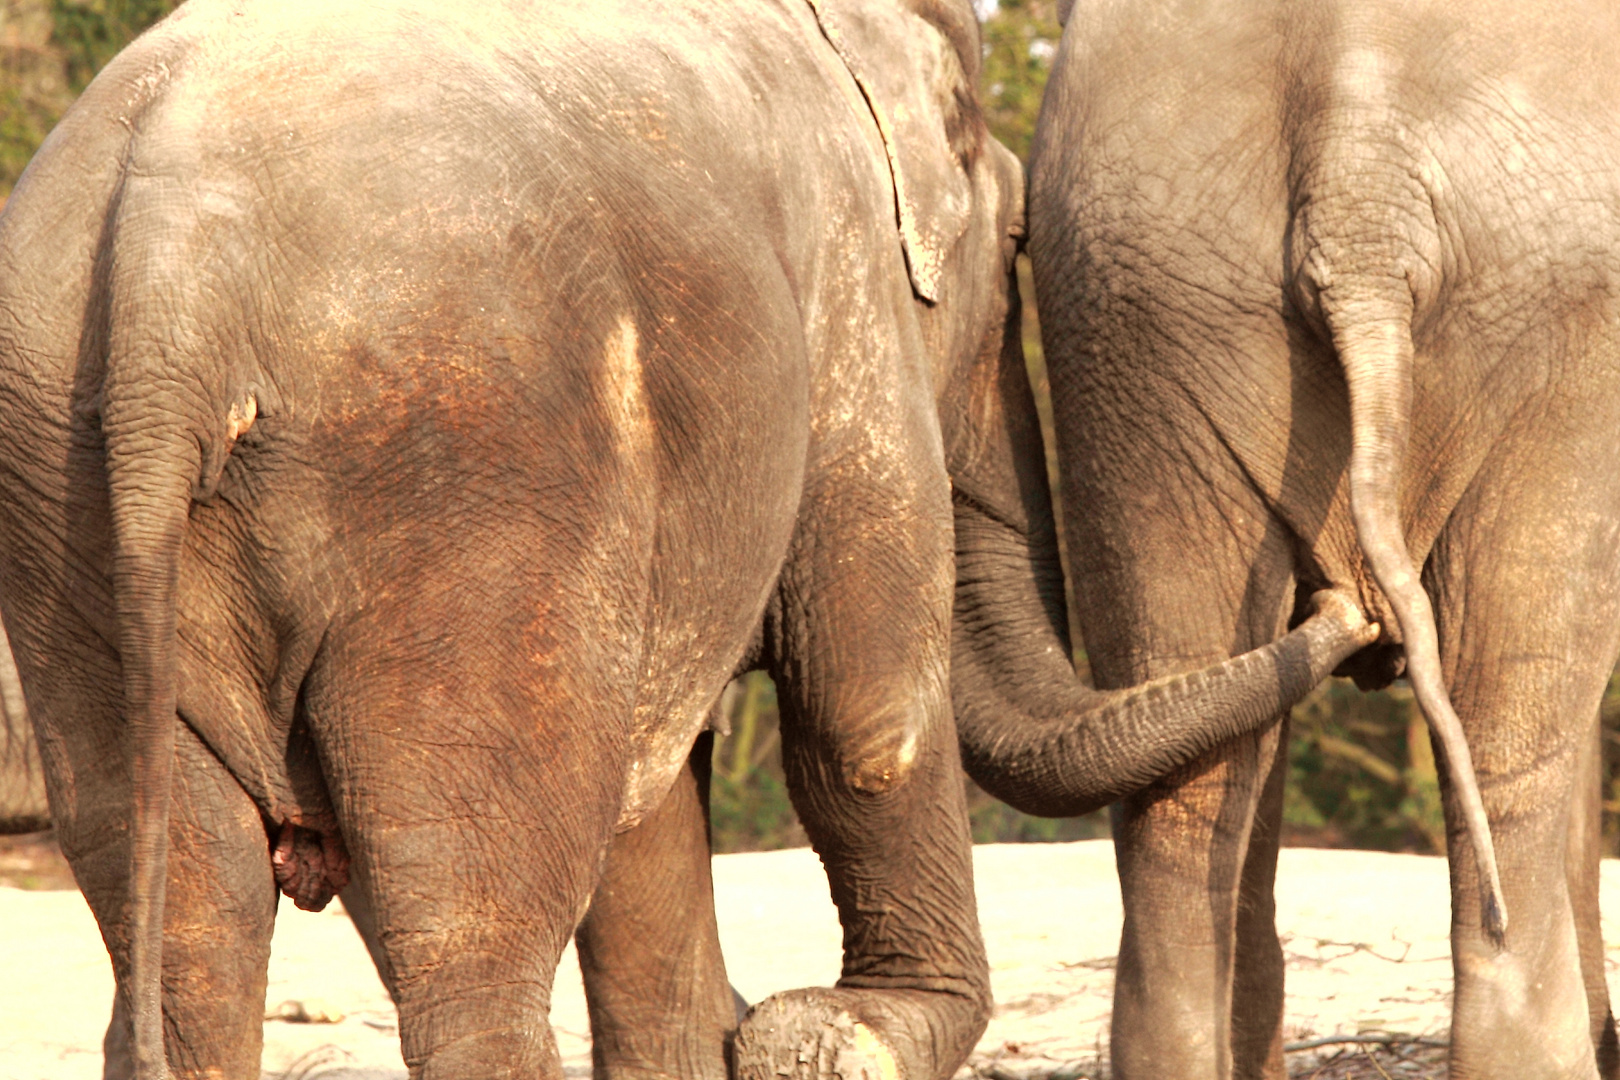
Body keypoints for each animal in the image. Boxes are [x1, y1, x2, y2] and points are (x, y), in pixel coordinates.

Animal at [0, 2, 1380, 1080]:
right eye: (1017, 246)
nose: (1346, 605)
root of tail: (173, 277)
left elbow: (652, 804)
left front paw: (742, 1035)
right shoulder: (843, 290)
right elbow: (869, 707)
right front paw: (834, 1030)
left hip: (68, 506)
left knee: (184, 918)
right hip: (463, 480)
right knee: (467, 931)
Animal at [1023, 0, 1620, 1075]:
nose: (1352, 616)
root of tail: (1360, 179)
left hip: (1133, 311)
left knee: (1184, 801)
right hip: (1572, 347)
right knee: (1513, 762)